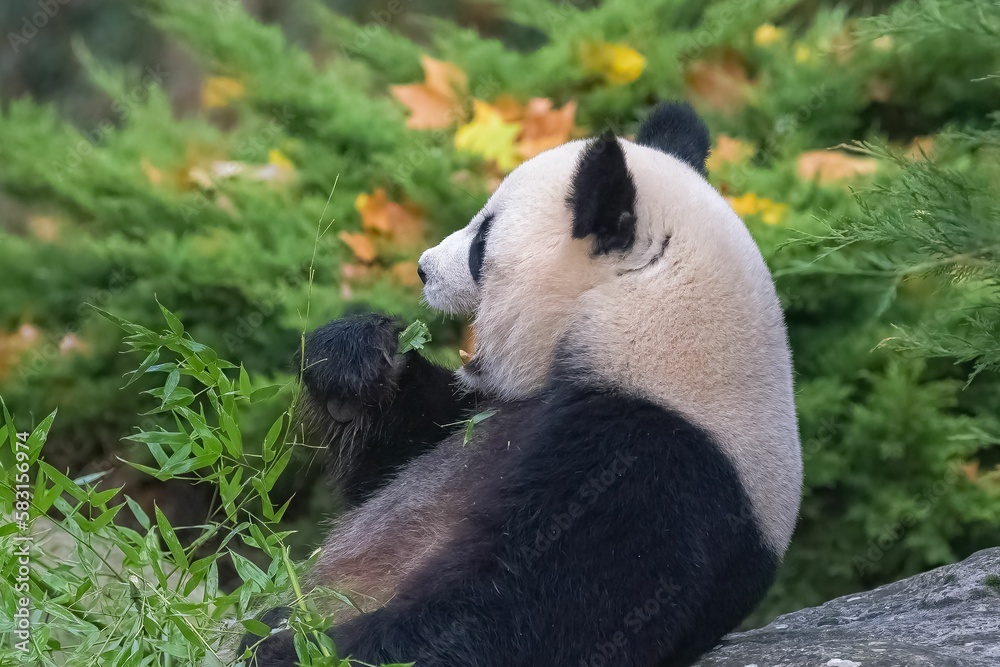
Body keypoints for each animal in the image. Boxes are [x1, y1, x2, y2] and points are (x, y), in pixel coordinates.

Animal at [245, 101, 802, 667]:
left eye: (482, 242)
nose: (422, 269)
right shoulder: (490, 409)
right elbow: (391, 461)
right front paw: (357, 358)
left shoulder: (660, 462)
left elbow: (530, 614)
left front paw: (292, 645)